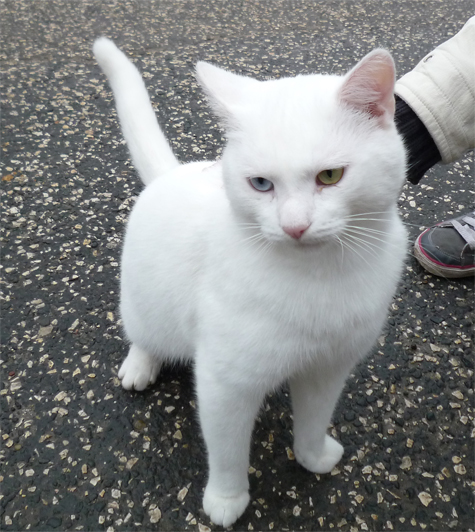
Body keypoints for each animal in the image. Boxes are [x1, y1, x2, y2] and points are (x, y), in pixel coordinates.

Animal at [94, 38, 410, 528]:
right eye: (261, 184)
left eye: (330, 176)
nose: (295, 226)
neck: (319, 278)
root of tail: (172, 172)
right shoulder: (225, 383)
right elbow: (227, 451)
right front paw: (226, 500)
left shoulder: (328, 368)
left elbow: (313, 421)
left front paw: (312, 457)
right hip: (145, 305)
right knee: (145, 334)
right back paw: (140, 365)